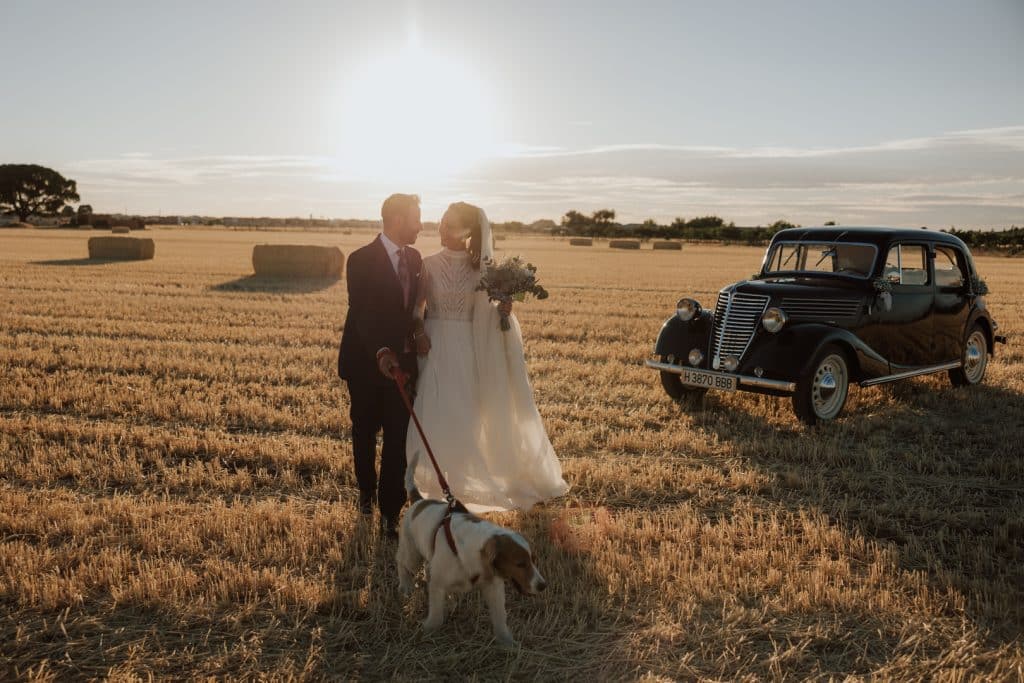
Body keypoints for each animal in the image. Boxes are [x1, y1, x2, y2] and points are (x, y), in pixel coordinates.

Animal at [395, 466, 548, 651]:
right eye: (520, 564)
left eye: (533, 560)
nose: (543, 585)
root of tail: (418, 501)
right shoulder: (438, 585)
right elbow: (437, 616)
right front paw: (428, 630)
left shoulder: (493, 586)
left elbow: (500, 618)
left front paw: (506, 642)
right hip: (412, 553)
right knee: (401, 563)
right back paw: (405, 587)